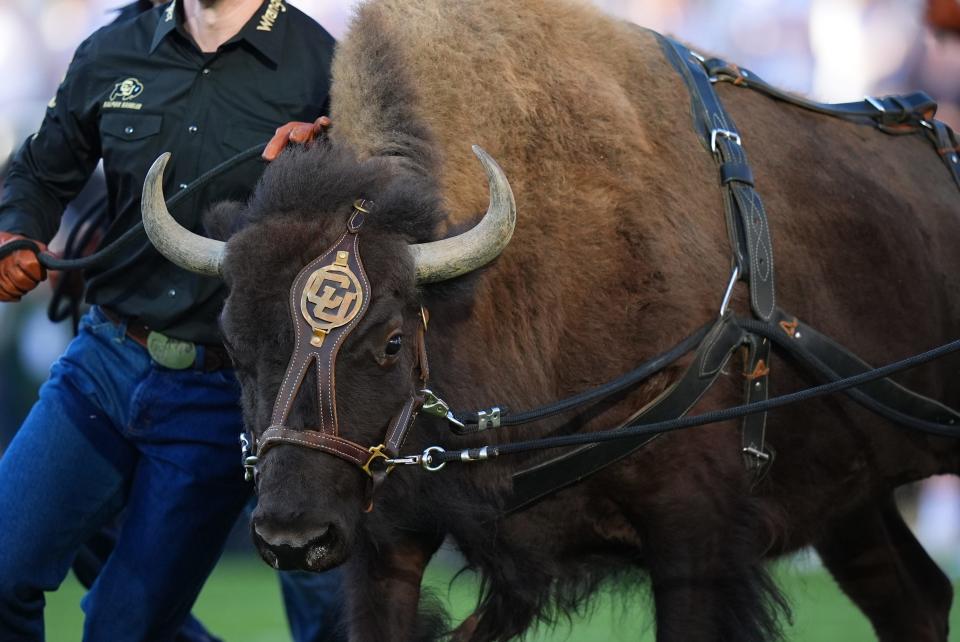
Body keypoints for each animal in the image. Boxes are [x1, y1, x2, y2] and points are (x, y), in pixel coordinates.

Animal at [139, 1, 956, 640]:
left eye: (392, 342)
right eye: (233, 348)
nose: (292, 538)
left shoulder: (696, 535)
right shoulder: (387, 541)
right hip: (854, 500)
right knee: (914, 595)